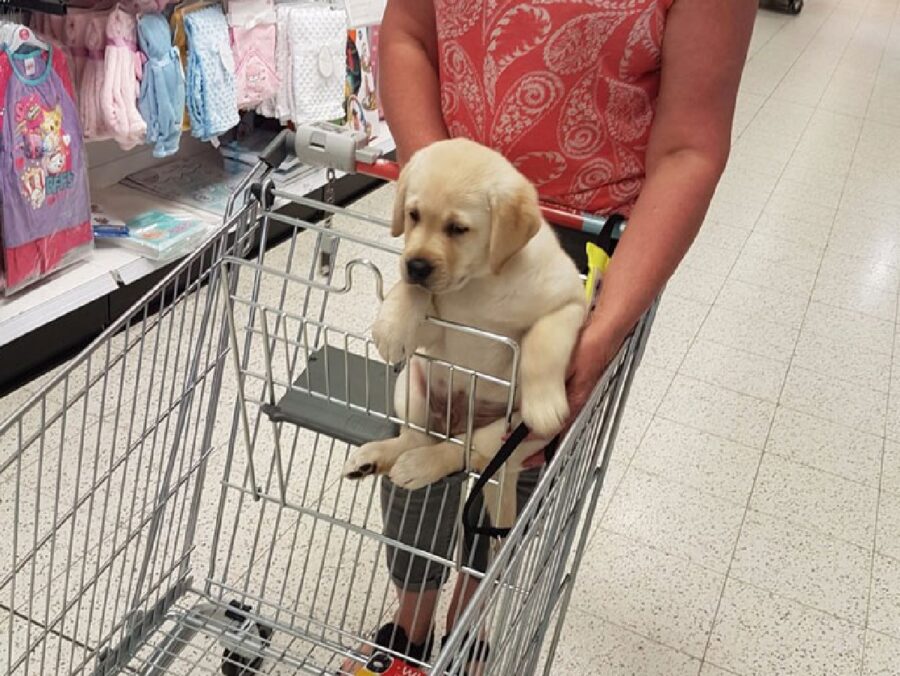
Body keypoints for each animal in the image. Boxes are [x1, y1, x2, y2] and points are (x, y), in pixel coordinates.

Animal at [342, 137, 584, 528]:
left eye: (457, 228)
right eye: (413, 215)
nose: (416, 265)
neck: (479, 282)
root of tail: (455, 422)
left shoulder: (570, 302)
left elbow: (542, 346)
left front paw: (545, 403)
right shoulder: (436, 330)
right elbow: (408, 292)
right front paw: (392, 325)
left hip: (512, 436)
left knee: (465, 450)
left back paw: (419, 466)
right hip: (412, 385)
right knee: (418, 438)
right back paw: (376, 457)